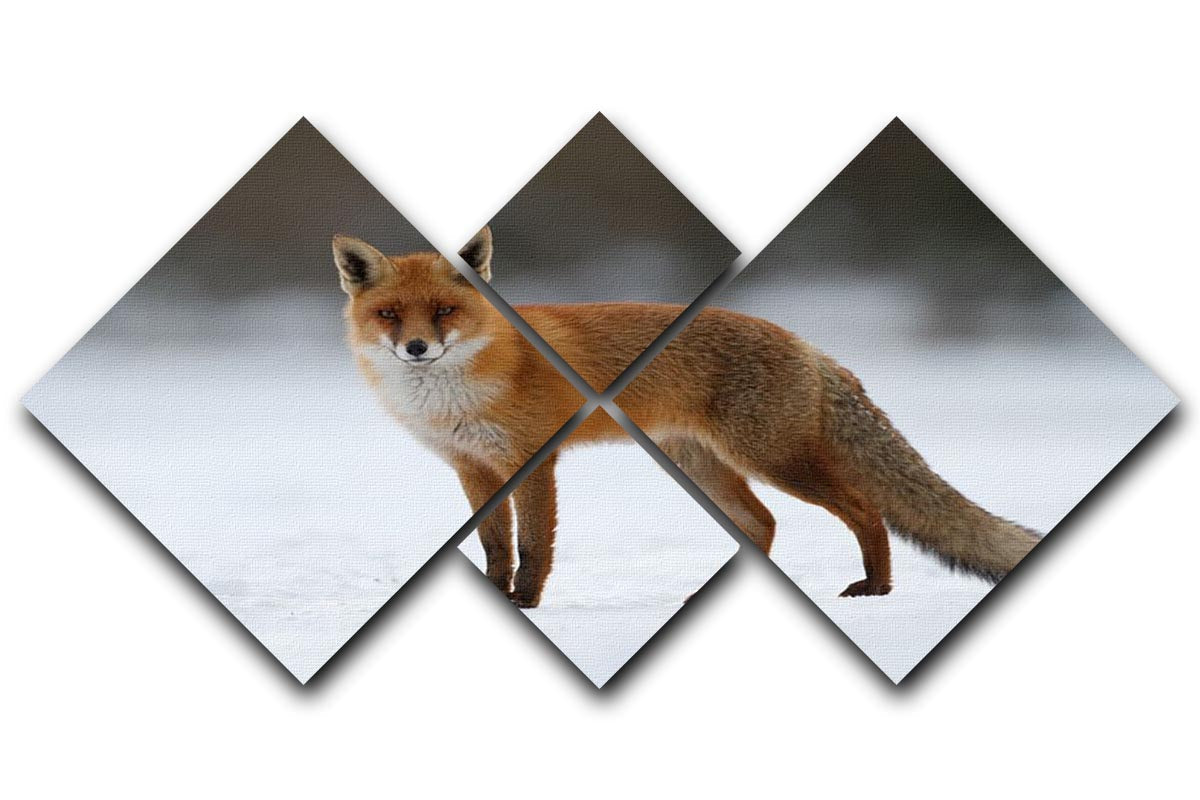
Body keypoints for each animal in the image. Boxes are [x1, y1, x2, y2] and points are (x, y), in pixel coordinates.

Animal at [333, 227, 1041, 607]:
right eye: (390, 315)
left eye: (444, 311)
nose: (416, 348)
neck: (456, 393)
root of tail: (806, 343)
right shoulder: (473, 467)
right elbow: (496, 547)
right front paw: (501, 596)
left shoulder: (534, 459)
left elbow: (534, 547)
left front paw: (526, 605)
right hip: (704, 464)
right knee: (762, 523)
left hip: (773, 459)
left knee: (863, 509)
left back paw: (877, 589)